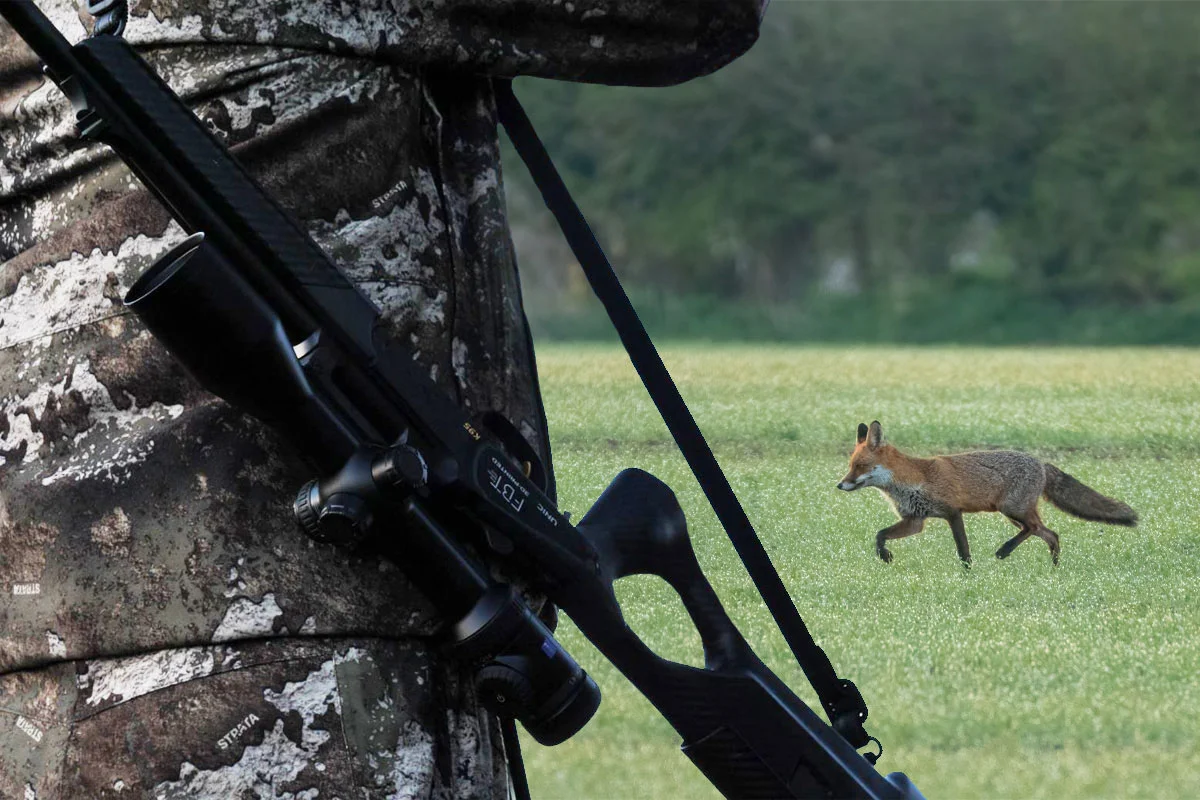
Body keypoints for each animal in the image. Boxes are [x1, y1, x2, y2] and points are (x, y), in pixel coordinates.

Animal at [835, 422, 1132, 566]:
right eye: (850, 465)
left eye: (859, 466)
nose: (840, 485)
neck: (912, 480)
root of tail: (1040, 462)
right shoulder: (915, 520)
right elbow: (880, 535)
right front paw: (884, 556)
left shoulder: (952, 512)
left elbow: (963, 550)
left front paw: (968, 573)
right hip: (1014, 515)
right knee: (1050, 534)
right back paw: (1054, 567)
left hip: (1012, 510)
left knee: (1036, 529)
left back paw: (1005, 551)